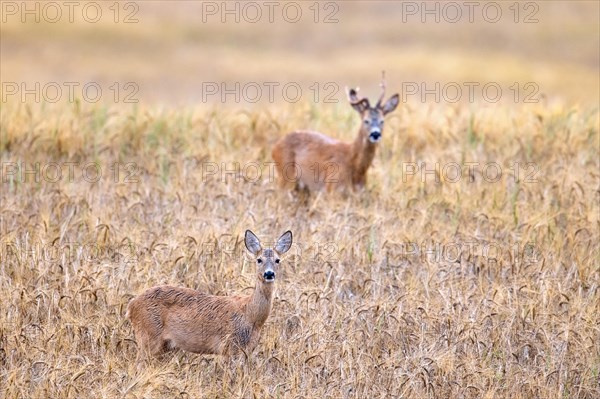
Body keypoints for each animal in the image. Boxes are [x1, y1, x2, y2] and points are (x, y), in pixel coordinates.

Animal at [127, 230, 292, 358]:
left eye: (278, 260)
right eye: (259, 259)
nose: (269, 274)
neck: (250, 315)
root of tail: (131, 305)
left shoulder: (246, 351)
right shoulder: (228, 347)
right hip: (148, 336)